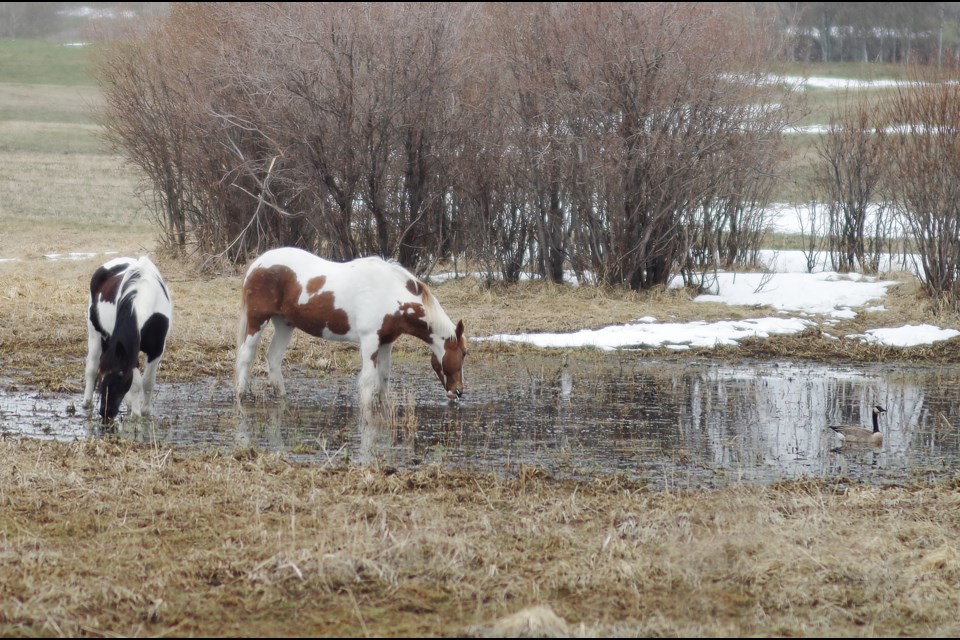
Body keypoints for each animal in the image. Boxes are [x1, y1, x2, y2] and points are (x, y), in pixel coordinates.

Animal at [82, 255, 172, 424]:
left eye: (120, 376)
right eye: (102, 378)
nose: (106, 413)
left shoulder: (157, 349)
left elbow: (148, 382)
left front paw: (145, 412)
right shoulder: (130, 350)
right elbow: (136, 384)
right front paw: (136, 415)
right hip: (95, 333)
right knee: (91, 367)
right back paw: (87, 403)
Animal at [236, 248, 468, 408]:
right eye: (464, 353)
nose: (458, 392)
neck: (390, 292)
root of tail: (257, 264)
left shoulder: (386, 342)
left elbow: (383, 377)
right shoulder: (370, 341)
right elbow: (367, 380)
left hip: (285, 324)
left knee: (274, 358)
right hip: (257, 322)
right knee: (245, 357)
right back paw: (241, 395)